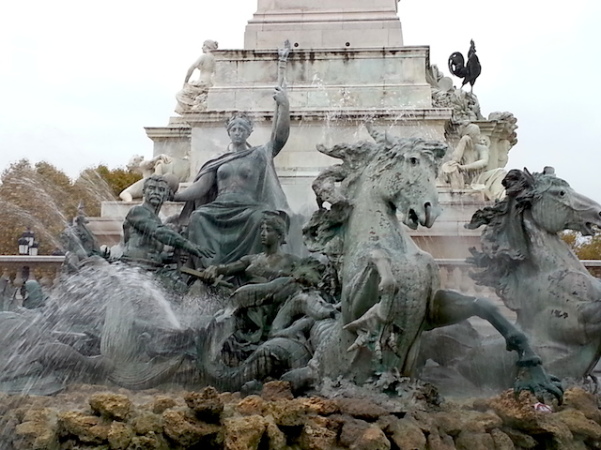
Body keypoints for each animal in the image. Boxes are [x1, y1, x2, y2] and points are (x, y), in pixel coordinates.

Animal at [304, 128, 564, 400]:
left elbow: (483, 305)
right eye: (413, 161)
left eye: (434, 169)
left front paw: (537, 374)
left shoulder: (433, 310)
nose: (431, 210)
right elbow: (377, 264)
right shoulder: (350, 312)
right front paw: (380, 313)